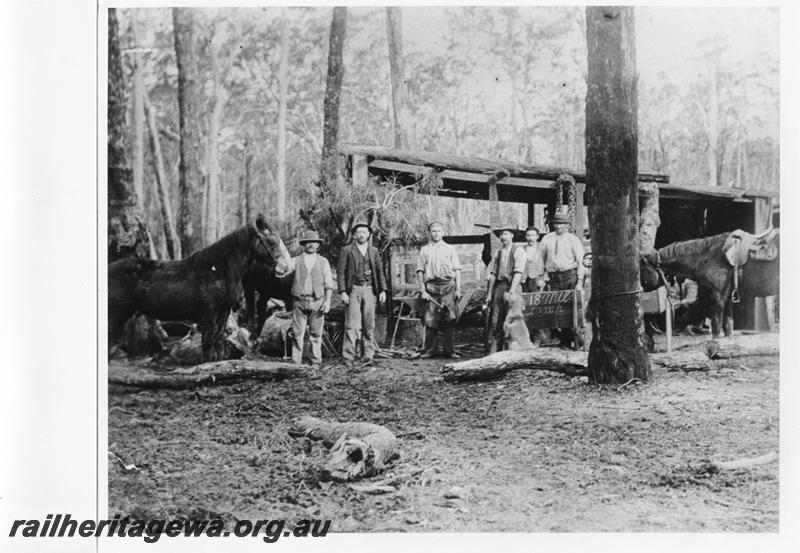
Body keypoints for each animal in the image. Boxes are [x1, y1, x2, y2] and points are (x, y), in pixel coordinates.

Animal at [108, 213, 290, 360]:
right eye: (271, 240)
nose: (285, 266)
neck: (218, 269)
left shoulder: (223, 312)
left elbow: (218, 339)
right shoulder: (208, 314)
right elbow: (208, 344)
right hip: (116, 313)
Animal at [640, 231, 780, 338]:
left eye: (642, 269)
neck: (708, 256)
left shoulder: (717, 297)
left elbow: (716, 327)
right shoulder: (727, 298)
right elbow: (728, 326)